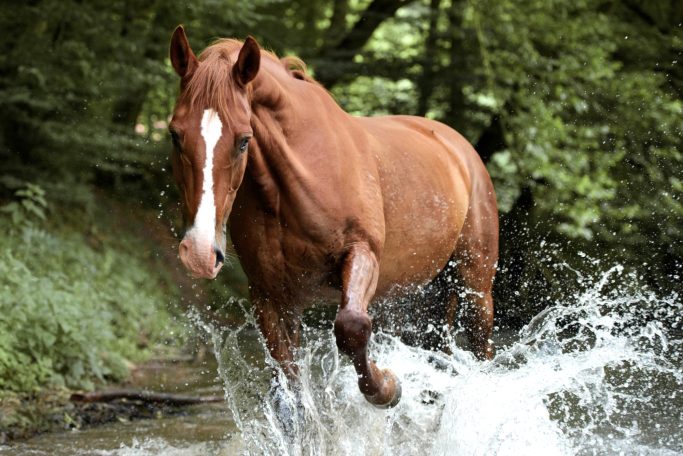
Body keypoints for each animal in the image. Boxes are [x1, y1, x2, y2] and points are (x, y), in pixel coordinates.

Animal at [168, 26, 498, 409]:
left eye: (243, 140)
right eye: (175, 134)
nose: (199, 253)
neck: (299, 179)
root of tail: (460, 149)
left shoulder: (362, 254)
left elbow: (352, 327)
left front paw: (388, 387)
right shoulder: (272, 298)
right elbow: (290, 392)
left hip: (475, 289)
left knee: (481, 348)